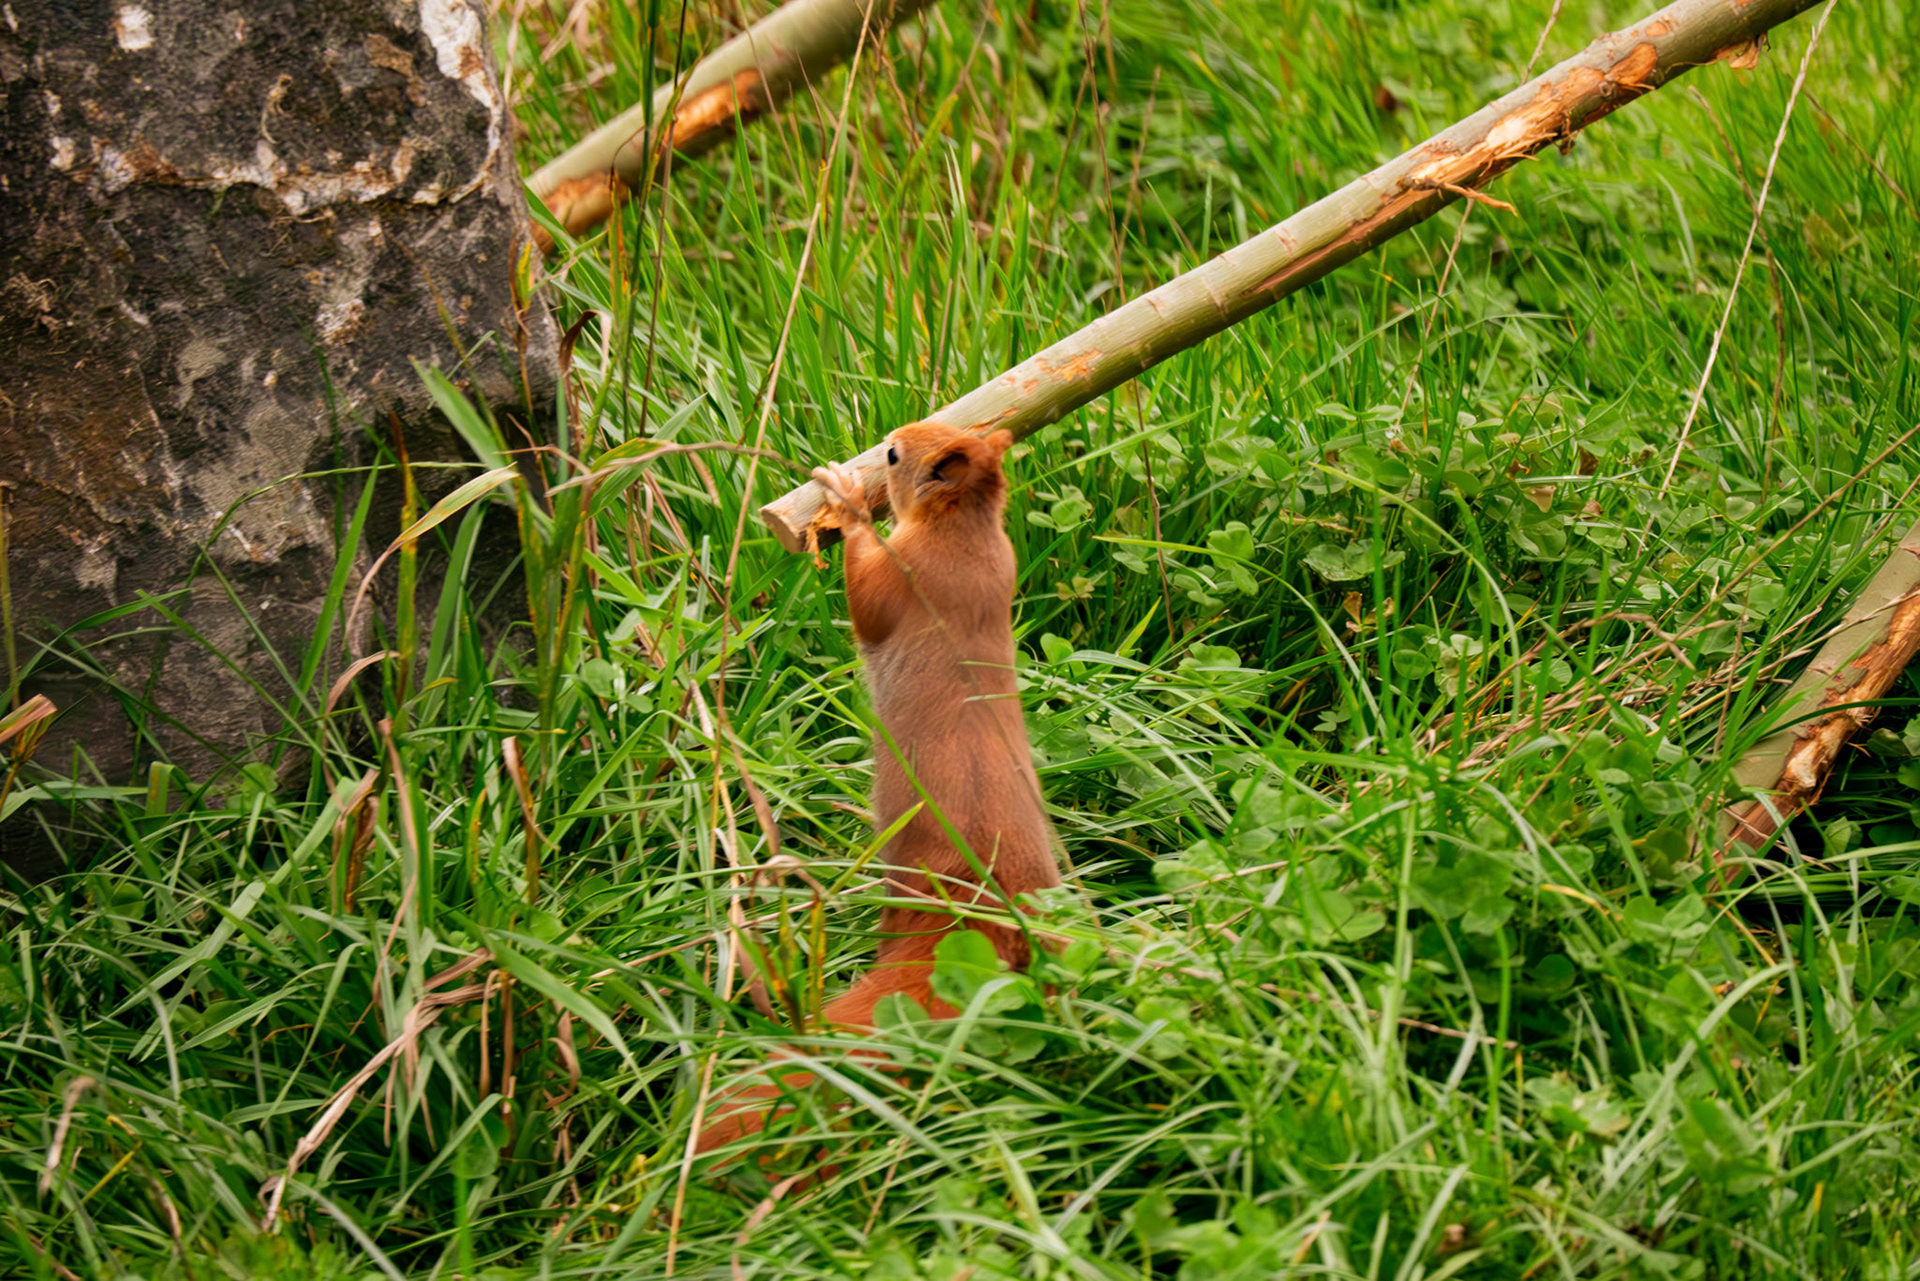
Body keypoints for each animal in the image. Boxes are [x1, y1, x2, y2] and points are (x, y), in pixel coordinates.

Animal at [694, 422, 1061, 1156]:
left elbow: (867, 599)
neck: (967, 532)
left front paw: (844, 499)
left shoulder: (908, 575)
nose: (890, 438)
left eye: (894, 456)